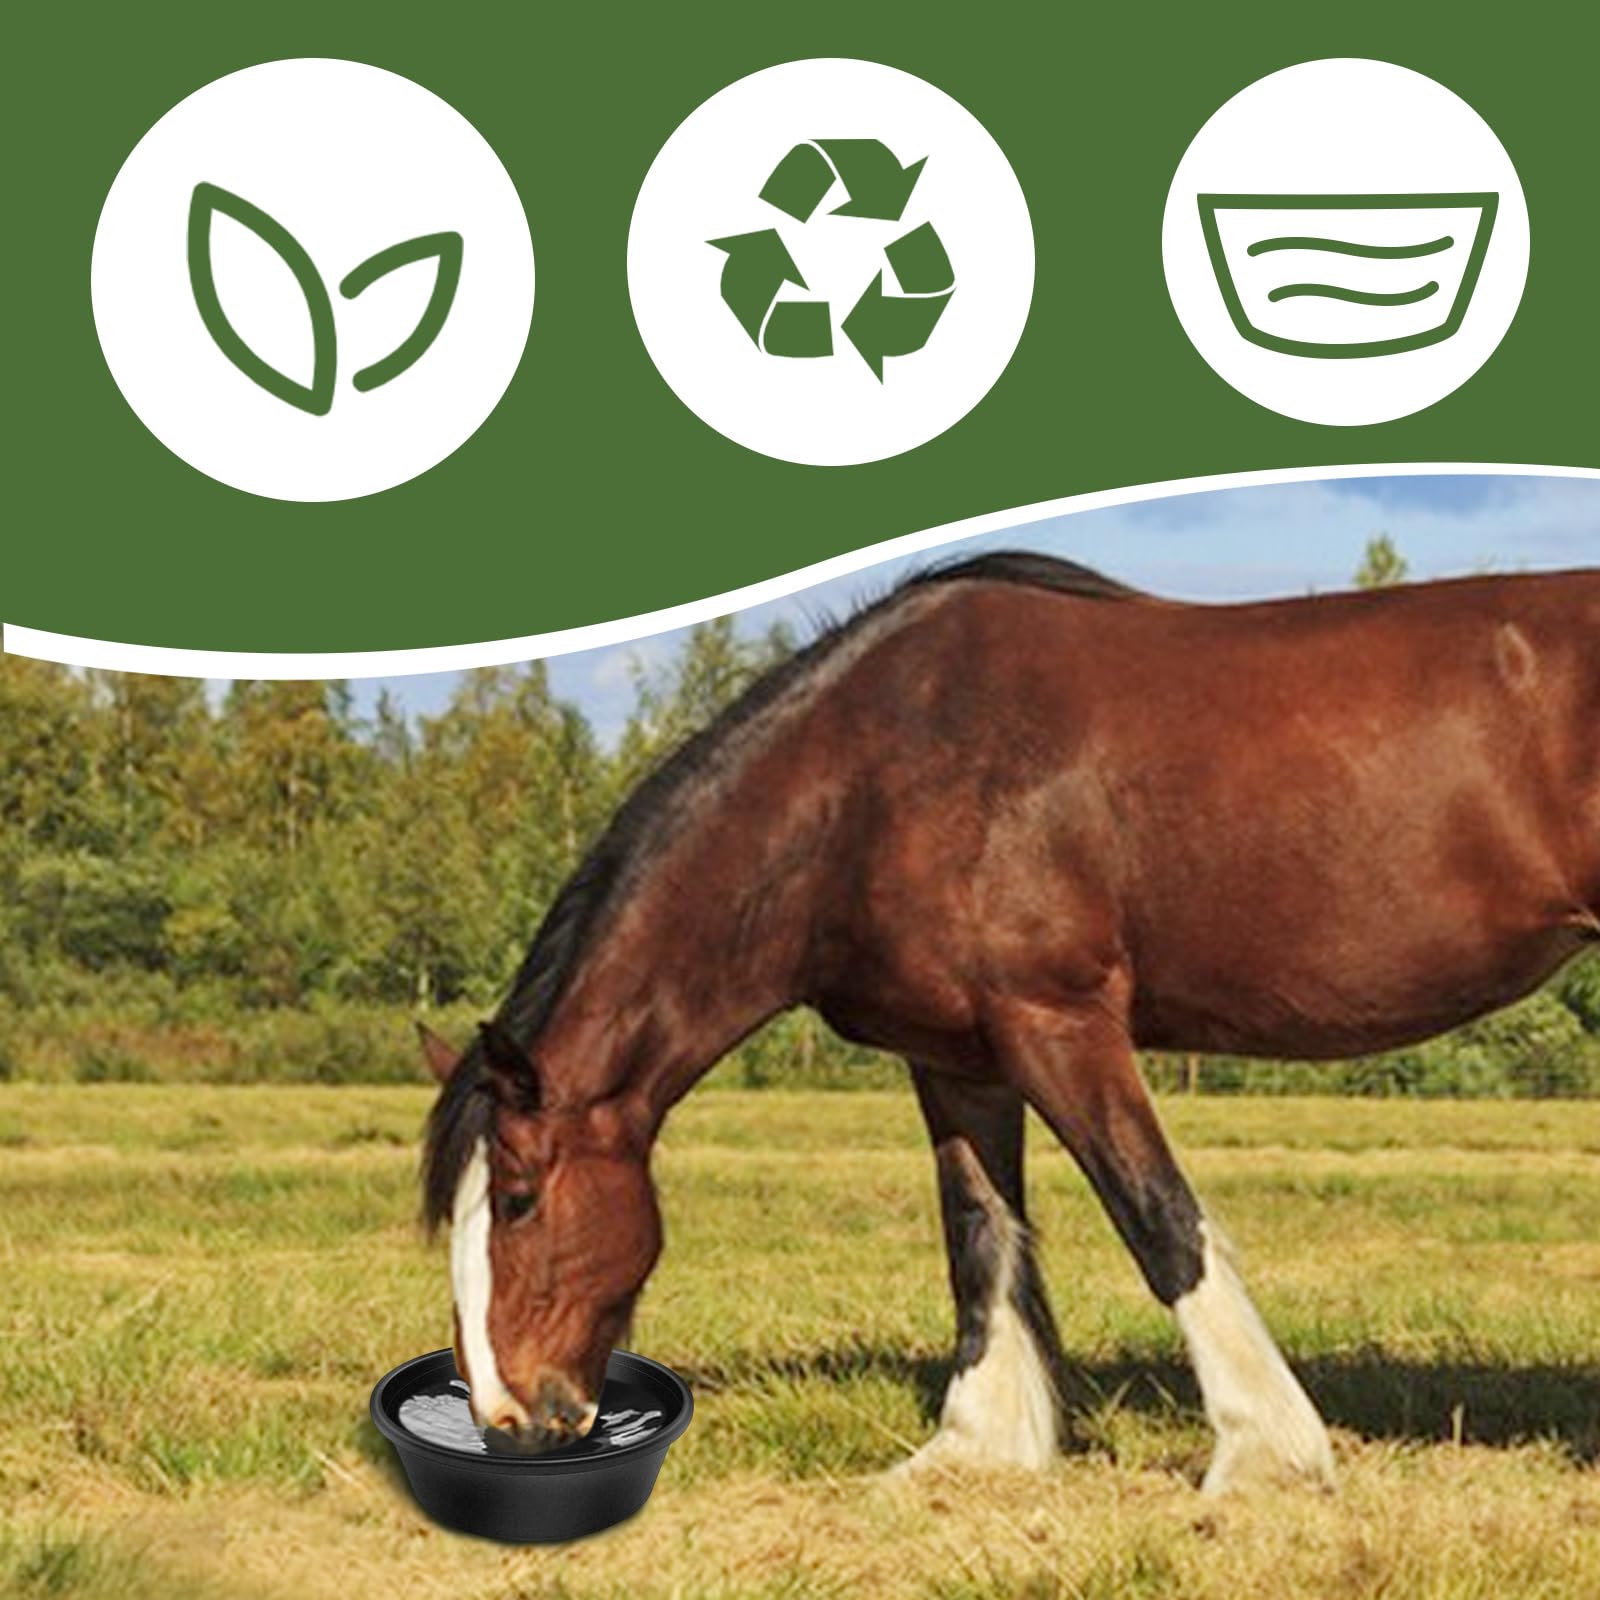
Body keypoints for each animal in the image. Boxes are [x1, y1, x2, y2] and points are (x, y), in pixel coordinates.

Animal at [417, 552, 1600, 1494]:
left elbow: (1159, 1219)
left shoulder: (1057, 1022)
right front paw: (976, 1446)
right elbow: (980, 1237)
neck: (869, 779)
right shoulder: (957, 1057)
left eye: (517, 1198)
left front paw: (1264, 1450)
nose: (509, 1419)